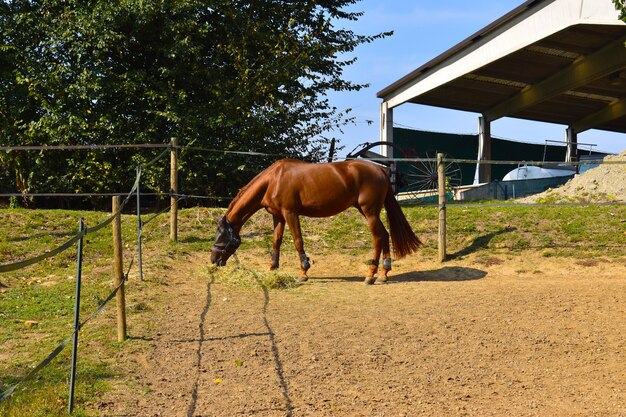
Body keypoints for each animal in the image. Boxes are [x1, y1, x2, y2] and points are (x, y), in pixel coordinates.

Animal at [210, 158, 420, 282]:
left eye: (221, 237)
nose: (213, 261)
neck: (274, 180)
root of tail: (380, 169)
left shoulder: (290, 213)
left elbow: (297, 241)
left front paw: (303, 271)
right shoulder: (278, 216)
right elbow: (276, 241)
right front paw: (272, 267)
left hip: (370, 212)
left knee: (378, 237)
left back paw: (370, 274)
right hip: (369, 212)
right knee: (384, 235)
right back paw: (384, 273)